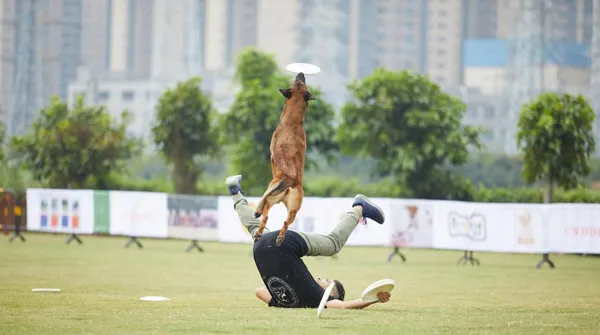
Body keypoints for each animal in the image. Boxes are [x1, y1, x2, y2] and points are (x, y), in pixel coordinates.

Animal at [252, 73, 316, 247]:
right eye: (299, 81)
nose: (301, 73)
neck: (293, 120)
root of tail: (290, 181)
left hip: (273, 186)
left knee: (266, 207)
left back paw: (258, 213)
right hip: (291, 207)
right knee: (281, 220)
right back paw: (274, 236)